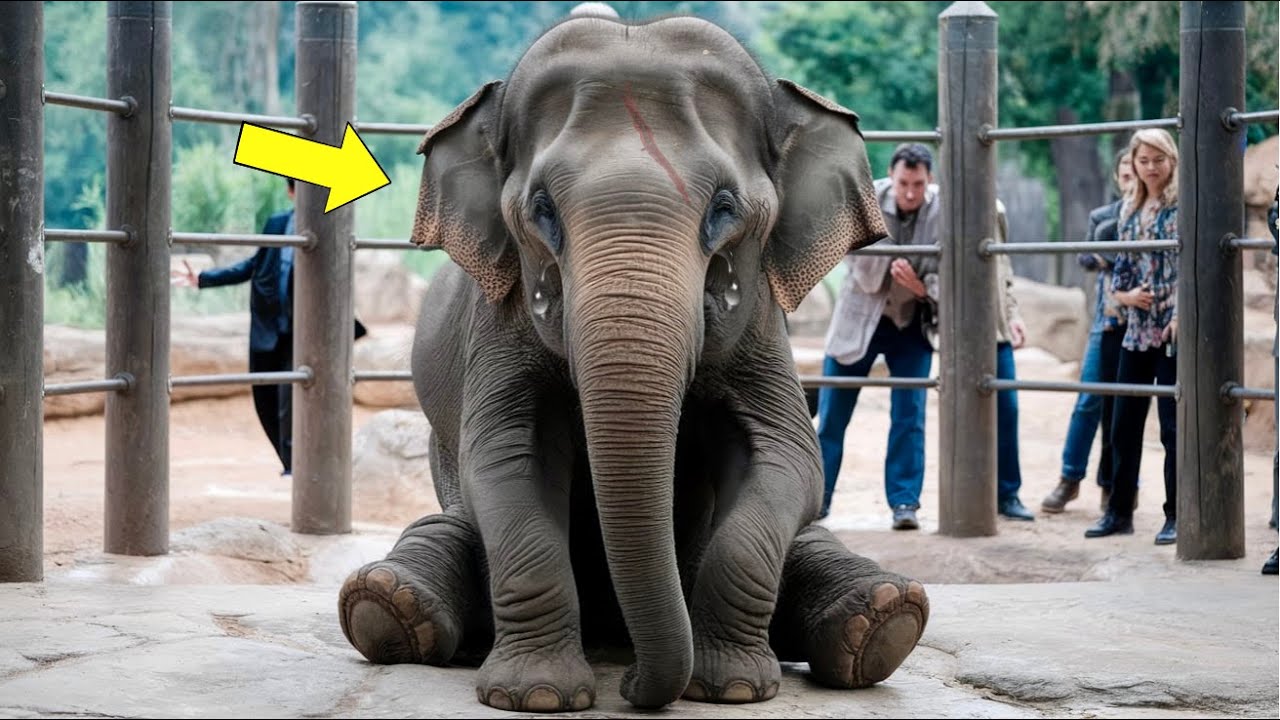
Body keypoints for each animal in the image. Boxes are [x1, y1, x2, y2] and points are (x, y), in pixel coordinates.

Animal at [338, 13, 930, 713]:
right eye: (541, 209)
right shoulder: (500, 318)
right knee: (439, 529)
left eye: (724, 208)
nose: (628, 685)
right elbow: (510, 458)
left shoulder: (762, 320)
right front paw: (537, 696)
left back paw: (883, 618)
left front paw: (731, 689)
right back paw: (389, 606)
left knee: (816, 543)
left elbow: (784, 454)